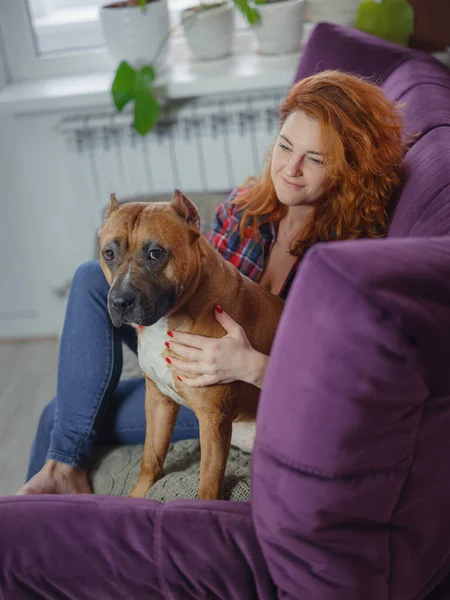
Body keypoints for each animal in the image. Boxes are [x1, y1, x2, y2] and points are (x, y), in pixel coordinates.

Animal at [99, 192, 284, 502]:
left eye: (155, 253)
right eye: (108, 254)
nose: (120, 302)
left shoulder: (212, 421)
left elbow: (208, 482)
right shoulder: (158, 401)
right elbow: (151, 456)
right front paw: (138, 494)